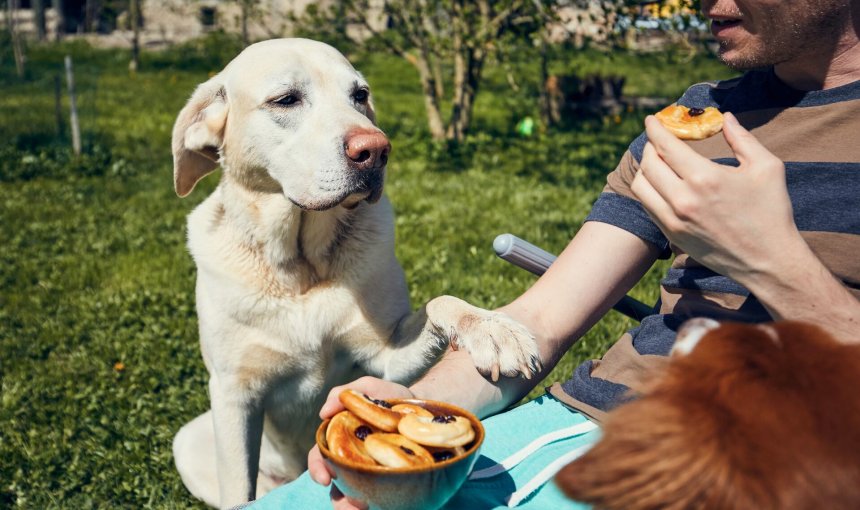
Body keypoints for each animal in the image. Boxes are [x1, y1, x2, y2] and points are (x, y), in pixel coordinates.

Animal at [171, 37, 540, 508]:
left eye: (359, 95)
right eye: (285, 100)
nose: (376, 150)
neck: (301, 267)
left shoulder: (386, 360)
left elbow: (440, 303)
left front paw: (492, 328)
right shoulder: (234, 394)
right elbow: (239, 488)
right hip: (190, 439)